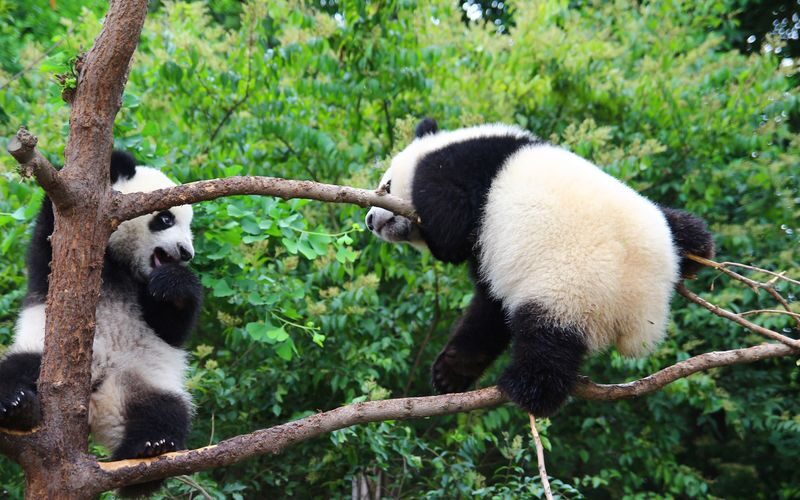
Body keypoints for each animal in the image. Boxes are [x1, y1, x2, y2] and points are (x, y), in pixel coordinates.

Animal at [0, 151, 202, 496]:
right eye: (165, 218)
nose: (186, 252)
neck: (123, 265)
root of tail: (95, 407)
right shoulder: (55, 246)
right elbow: (52, 241)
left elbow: (171, 328)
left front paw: (174, 284)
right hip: (42, 357)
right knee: (14, 369)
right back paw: (17, 405)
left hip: (142, 379)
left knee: (167, 412)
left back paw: (150, 449)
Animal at [365, 118, 714, 417]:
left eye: (386, 185)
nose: (370, 219)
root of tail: (645, 304)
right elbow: (490, 310)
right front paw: (449, 373)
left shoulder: (462, 181)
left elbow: (450, 227)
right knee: (684, 226)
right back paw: (696, 249)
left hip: (568, 290)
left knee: (548, 344)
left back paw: (526, 389)